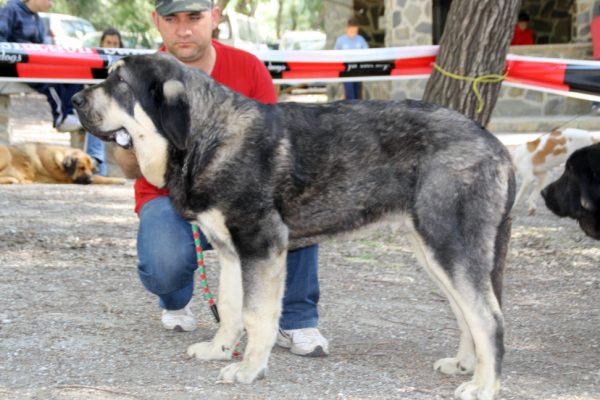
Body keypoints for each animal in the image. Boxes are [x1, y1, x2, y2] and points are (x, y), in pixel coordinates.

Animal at [71, 53, 516, 400]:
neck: (205, 137)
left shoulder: (261, 246)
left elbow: (256, 315)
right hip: (432, 250)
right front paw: (220, 350)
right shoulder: (233, 253)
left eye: (120, 82)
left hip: (450, 245)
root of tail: (495, 145)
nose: (74, 98)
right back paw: (464, 364)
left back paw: (484, 385)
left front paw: (249, 369)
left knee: (488, 318)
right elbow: (230, 310)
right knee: (466, 312)